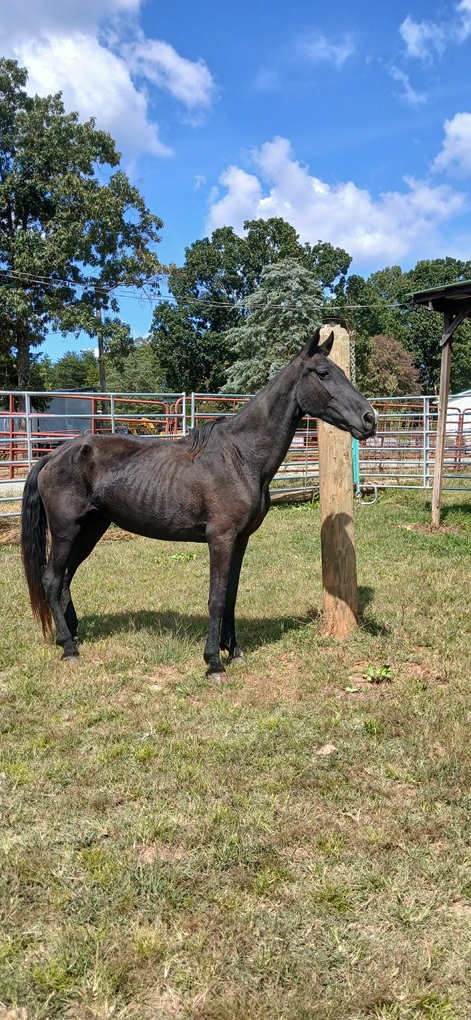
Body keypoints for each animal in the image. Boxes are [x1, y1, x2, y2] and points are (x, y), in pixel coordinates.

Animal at [21, 327, 377, 676]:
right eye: (323, 373)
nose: (369, 419)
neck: (241, 456)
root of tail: (55, 454)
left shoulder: (240, 540)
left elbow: (231, 595)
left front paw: (234, 651)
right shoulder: (220, 538)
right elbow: (216, 598)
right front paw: (214, 662)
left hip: (91, 529)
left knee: (65, 580)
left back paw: (72, 636)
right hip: (66, 531)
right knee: (52, 580)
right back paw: (69, 649)